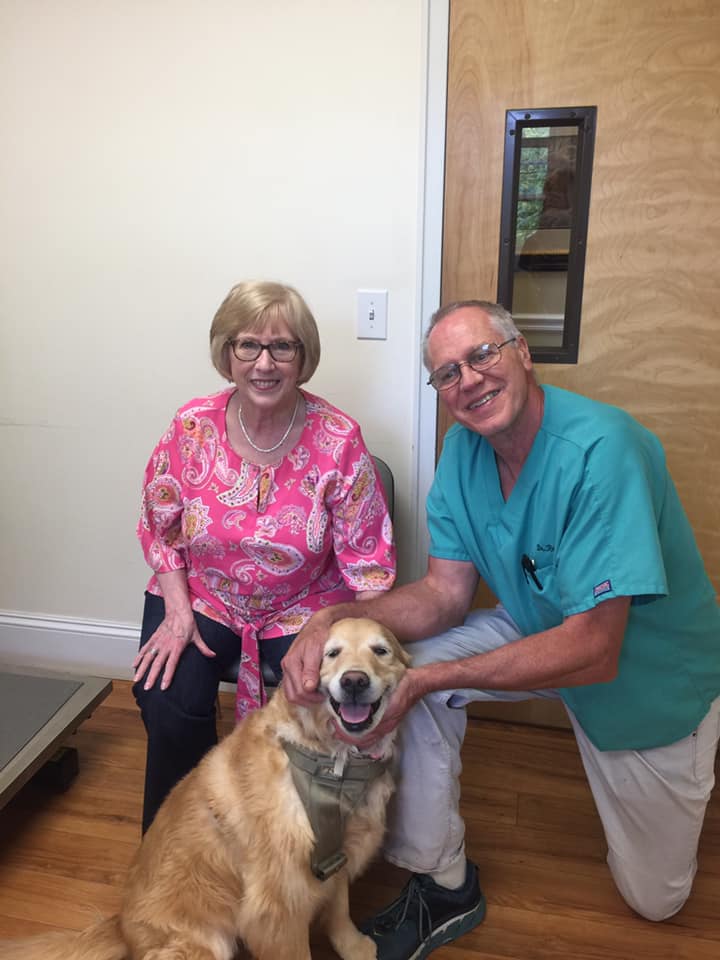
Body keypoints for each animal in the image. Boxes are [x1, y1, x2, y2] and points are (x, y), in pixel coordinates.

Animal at [0, 618, 409, 960]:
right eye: (331, 653)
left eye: (380, 650)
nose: (354, 681)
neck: (331, 759)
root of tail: (121, 925)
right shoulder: (276, 906)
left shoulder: (337, 852)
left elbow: (340, 909)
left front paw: (355, 947)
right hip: (204, 943)